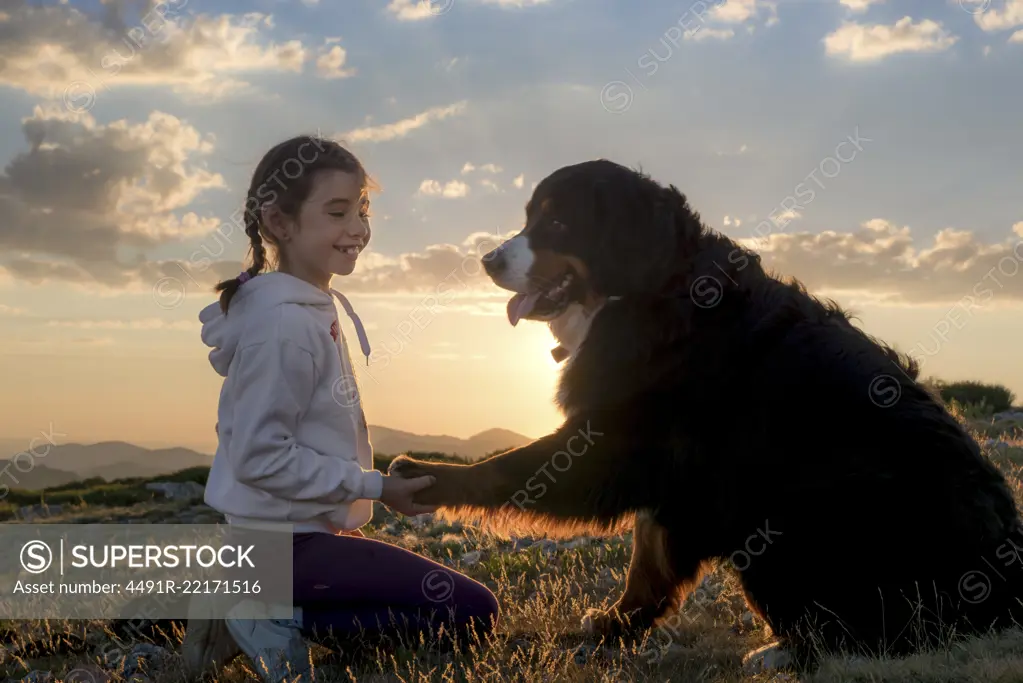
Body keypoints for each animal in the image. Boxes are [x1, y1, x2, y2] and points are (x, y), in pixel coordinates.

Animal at [384, 158, 1023, 666]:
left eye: (558, 224)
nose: (487, 260)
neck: (651, 291)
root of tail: (1006, 578)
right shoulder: (667, 473)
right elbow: (647, 558)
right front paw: (618, 626)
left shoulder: (617, 443)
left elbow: (508, 468)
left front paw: (430, 476)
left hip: (794, 518)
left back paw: (789, 650)